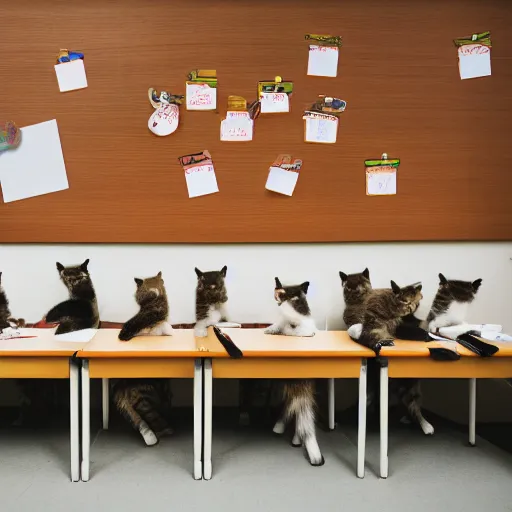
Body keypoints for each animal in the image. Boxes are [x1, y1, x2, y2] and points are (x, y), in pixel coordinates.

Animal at [266, 278, 322, 466]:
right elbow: (277, 325)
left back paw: (296, 439)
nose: (277, 291)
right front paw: (270, 329)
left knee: (297, 408)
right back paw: (280, 428)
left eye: (295, 297)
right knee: (292, 407)